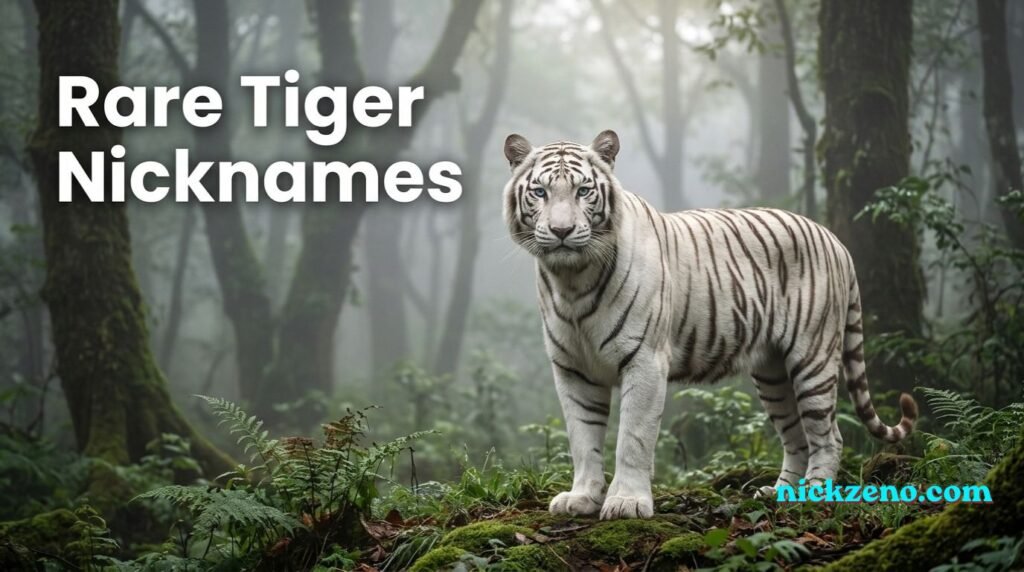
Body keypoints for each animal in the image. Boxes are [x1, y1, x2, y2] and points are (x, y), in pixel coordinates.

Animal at [502, 130, 918, 520]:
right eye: (540, 192)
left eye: (584, 190)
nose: (561, 231)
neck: (572, 280)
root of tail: (835, 239)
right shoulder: (573, 369)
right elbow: (582, 438)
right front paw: (583, 498)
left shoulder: (645, 360)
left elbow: (632, 438)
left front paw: (627, 503)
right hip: (773, 373)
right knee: (796, 437)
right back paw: (780, 493)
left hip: (811, 359)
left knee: (829, 436)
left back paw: (814, 493)